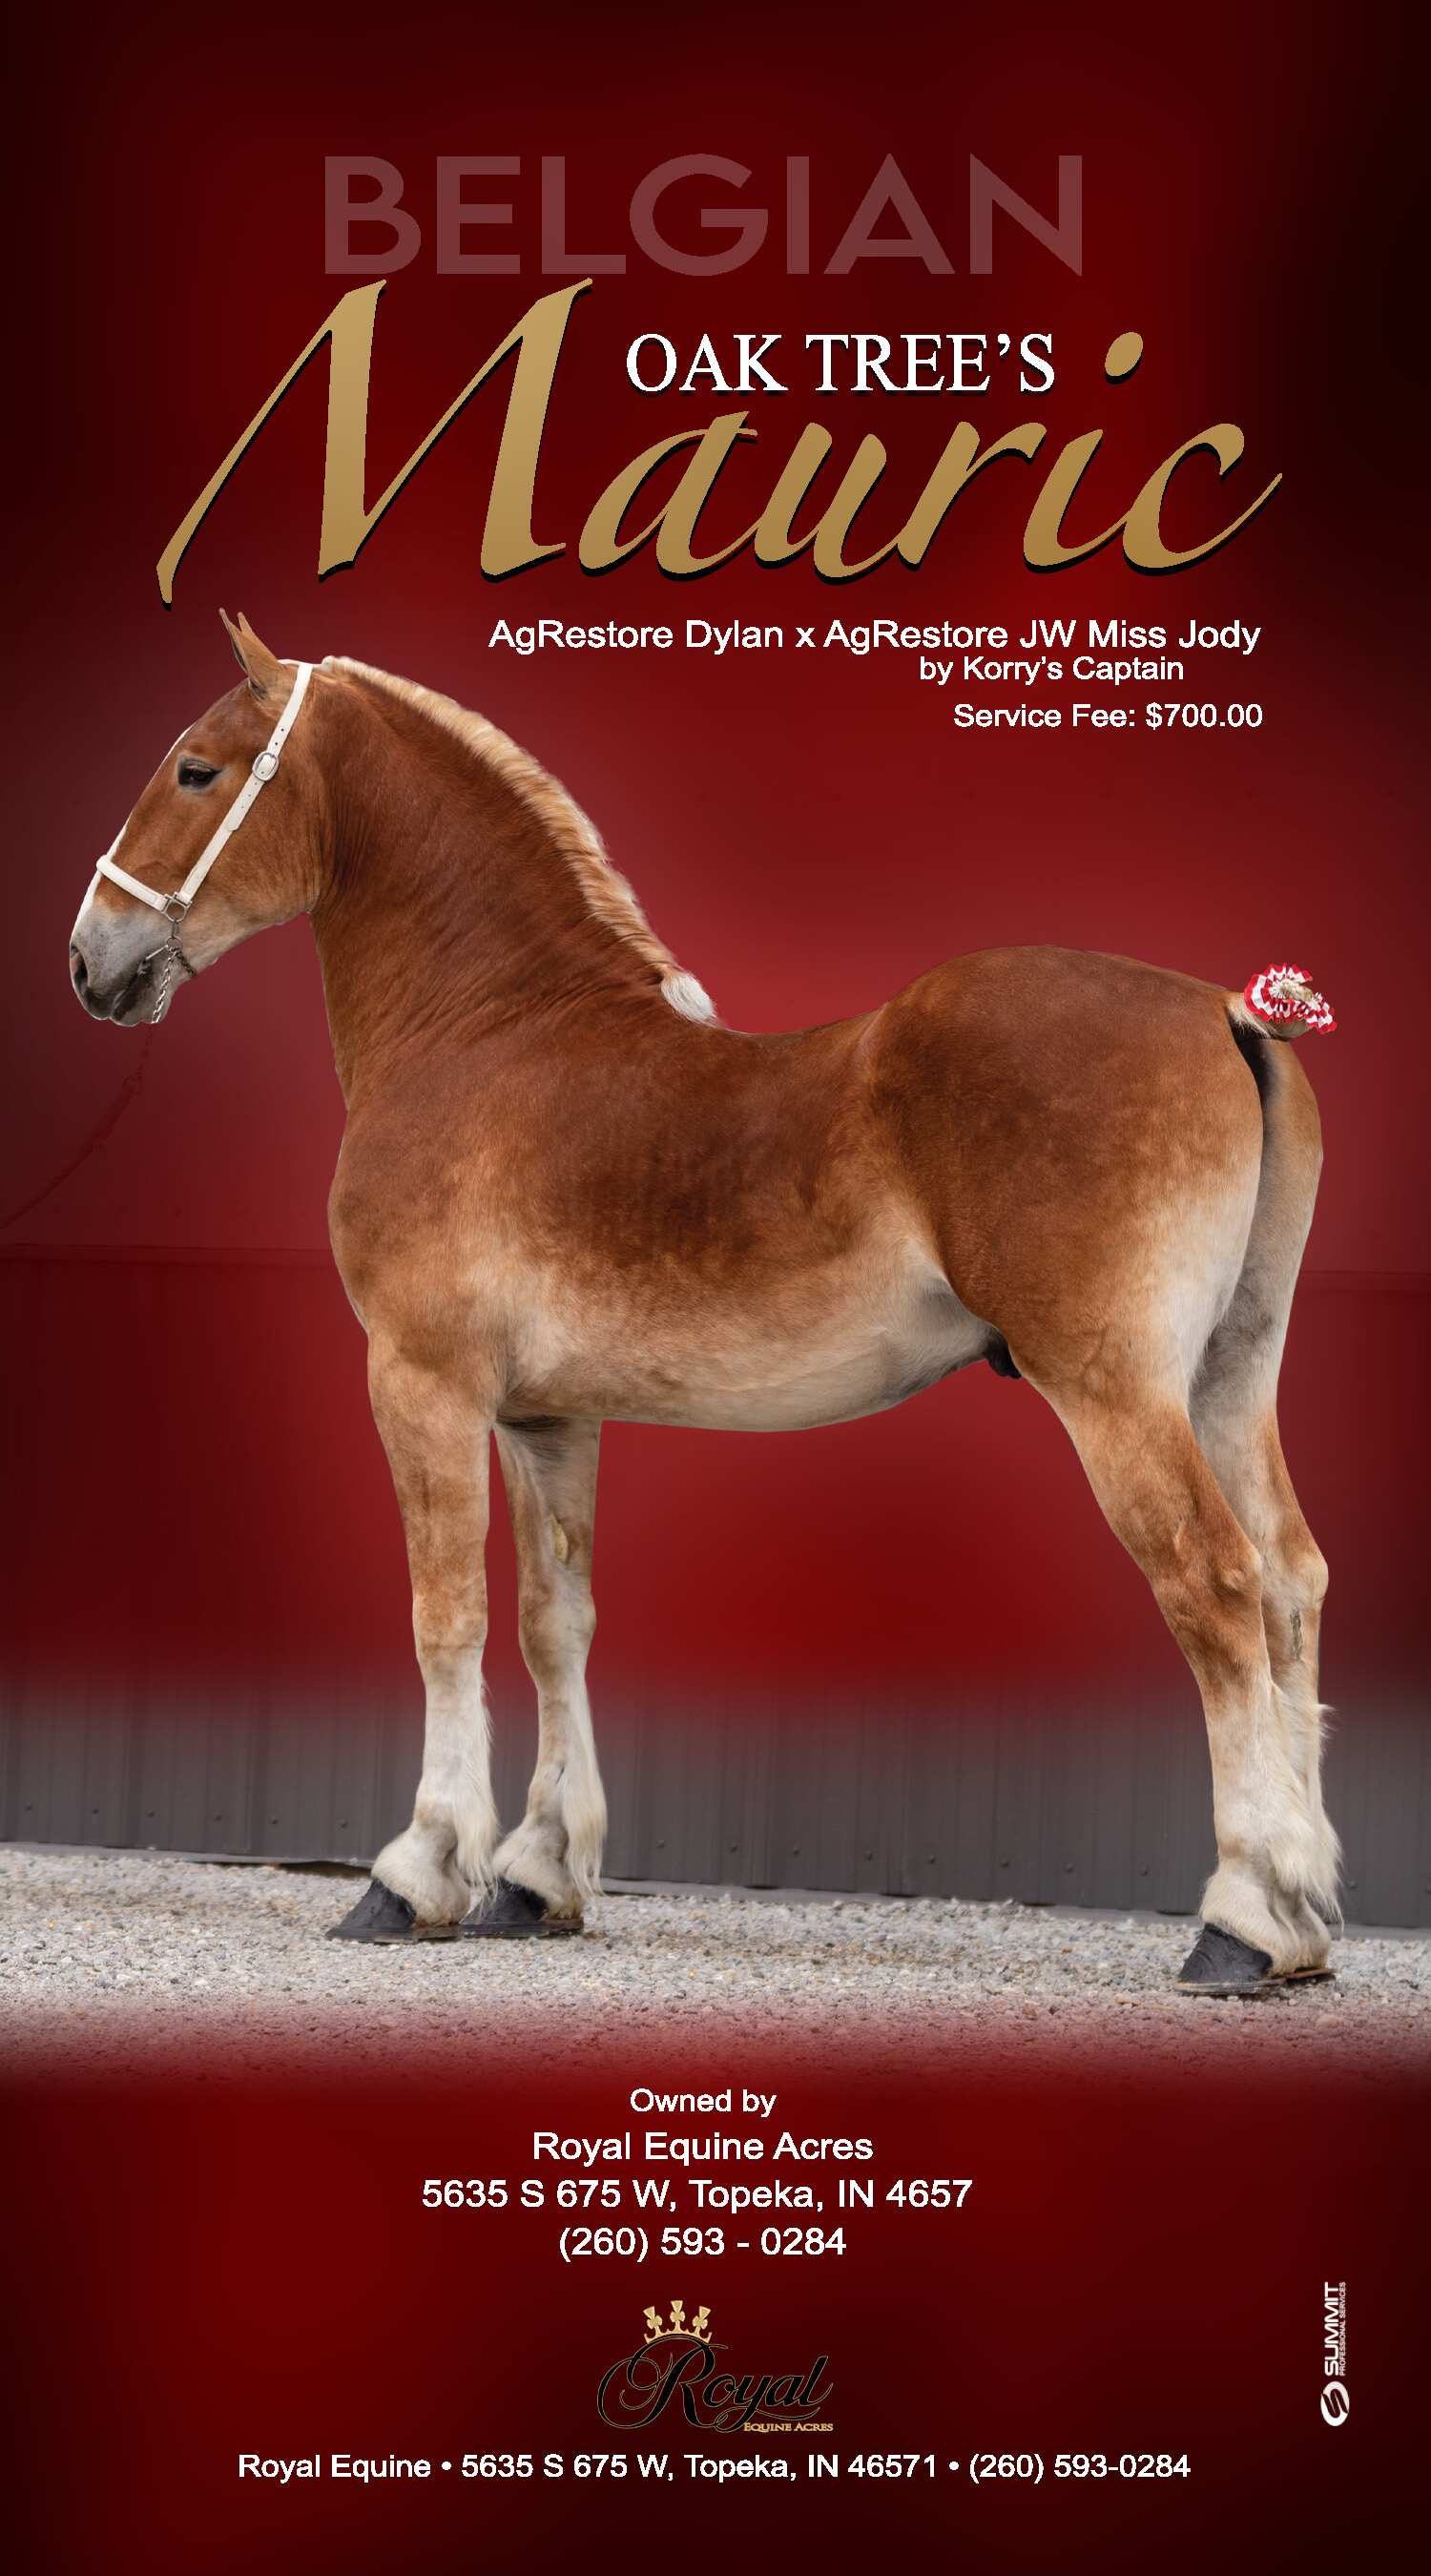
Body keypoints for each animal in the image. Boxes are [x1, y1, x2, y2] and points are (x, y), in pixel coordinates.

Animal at [68, 612, 1340, 1997]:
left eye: (196, 770)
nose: (91, 960)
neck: (489, 1034)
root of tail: (1227, 1011)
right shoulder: (546, 1418)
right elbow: (553, 1623)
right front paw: (535, 1877)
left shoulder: (423, 1382)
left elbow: (445, 1616)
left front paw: (416, 1875)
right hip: (1229, 1377)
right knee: (1289, 1583)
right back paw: (1307, 1915)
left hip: (1117, 1390)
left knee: (1214, 1583)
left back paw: (1243, 1918)